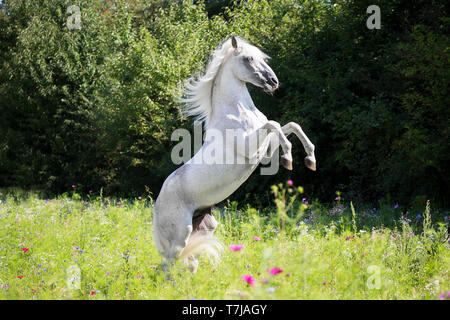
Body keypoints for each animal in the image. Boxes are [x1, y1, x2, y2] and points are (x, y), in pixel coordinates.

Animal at [153, 36, 314, 272]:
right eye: (248, 58)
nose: (274, 82)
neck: (237, 111)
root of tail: (155, 207)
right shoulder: (250, 148)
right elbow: (274, 124)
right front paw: (288, 159)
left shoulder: (265, 151)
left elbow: (290, 125)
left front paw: (310, 159)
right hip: (179, 237)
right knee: (168, 266)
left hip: (202, 230)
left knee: (189, 263)